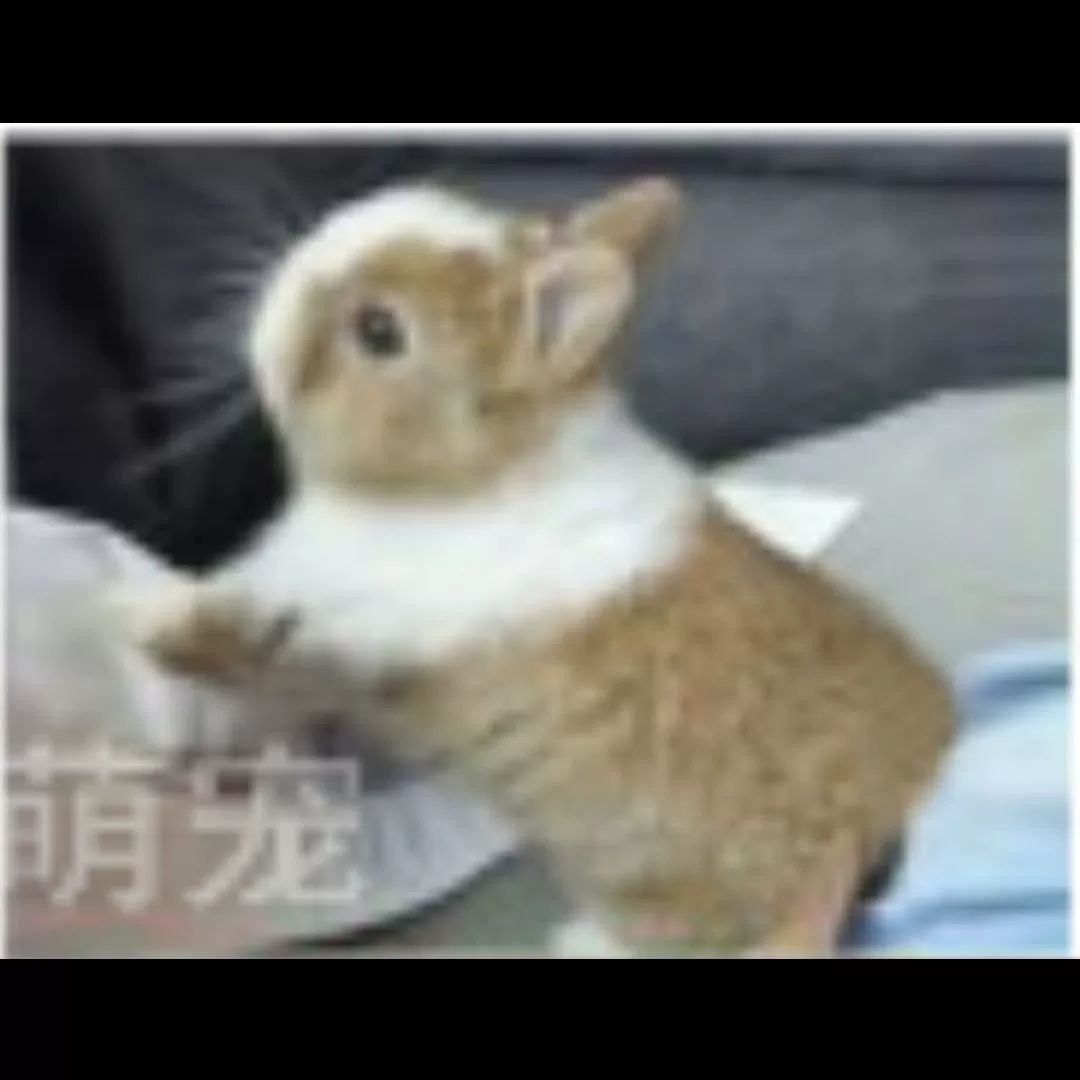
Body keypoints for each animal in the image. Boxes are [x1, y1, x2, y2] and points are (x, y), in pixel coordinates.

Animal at [107, 177, 955, 956]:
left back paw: (581, 940)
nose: (284, 271)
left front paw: (147, 624)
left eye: (379, 331)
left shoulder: (351, 635)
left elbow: (248, 647)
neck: (464, 479)